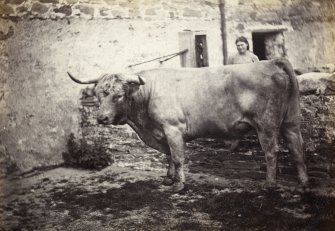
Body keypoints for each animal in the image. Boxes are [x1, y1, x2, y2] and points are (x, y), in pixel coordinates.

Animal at [68, 57, 310, 191]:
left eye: (118, 96)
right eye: (98, 95)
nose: (101, 118)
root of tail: (272, 61)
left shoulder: (172, 128)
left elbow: (177, 157)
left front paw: (179, 185)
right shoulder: (162, 133)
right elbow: (168, 156)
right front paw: (169, 179)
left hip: (266, 125)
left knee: (272, 152)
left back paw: (270, 184)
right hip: (291, 120)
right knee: (297, 148)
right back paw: (303, 183)